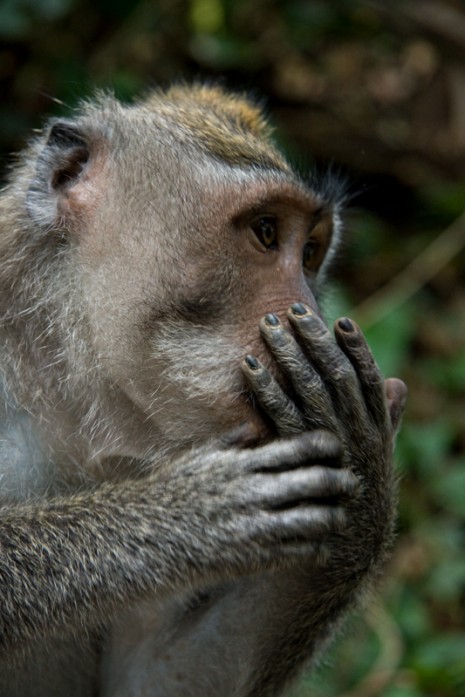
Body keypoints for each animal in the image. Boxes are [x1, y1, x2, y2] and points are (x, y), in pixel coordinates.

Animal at [0, 83, 406, 696]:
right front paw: (183, 515)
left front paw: (361, 459)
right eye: (266, 232)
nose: (308, 313)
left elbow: (156, 676)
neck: (64, 390)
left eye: (310, 253)